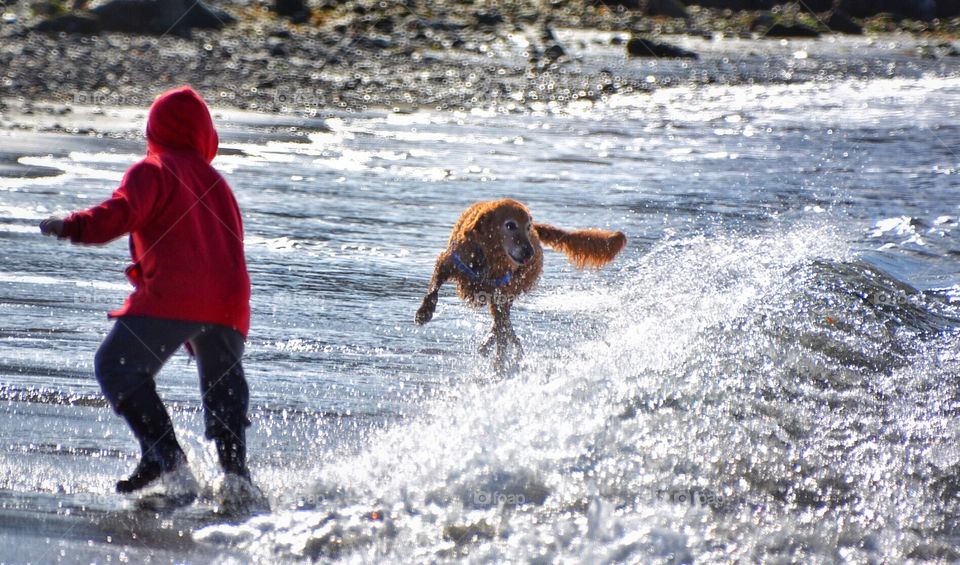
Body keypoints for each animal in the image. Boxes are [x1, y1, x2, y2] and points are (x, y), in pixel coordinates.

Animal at [414, 197, 628, 370]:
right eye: (510, 225)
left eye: (526, 227)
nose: (529, 252)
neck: (488, 256)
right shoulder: (448, 261)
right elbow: (434, 287)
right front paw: (424, 312)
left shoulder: (501, 294)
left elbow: (502, 331)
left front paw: (500, 361)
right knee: (502, 323)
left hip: (513, 289)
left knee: (503, 323)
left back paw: (501, 346)